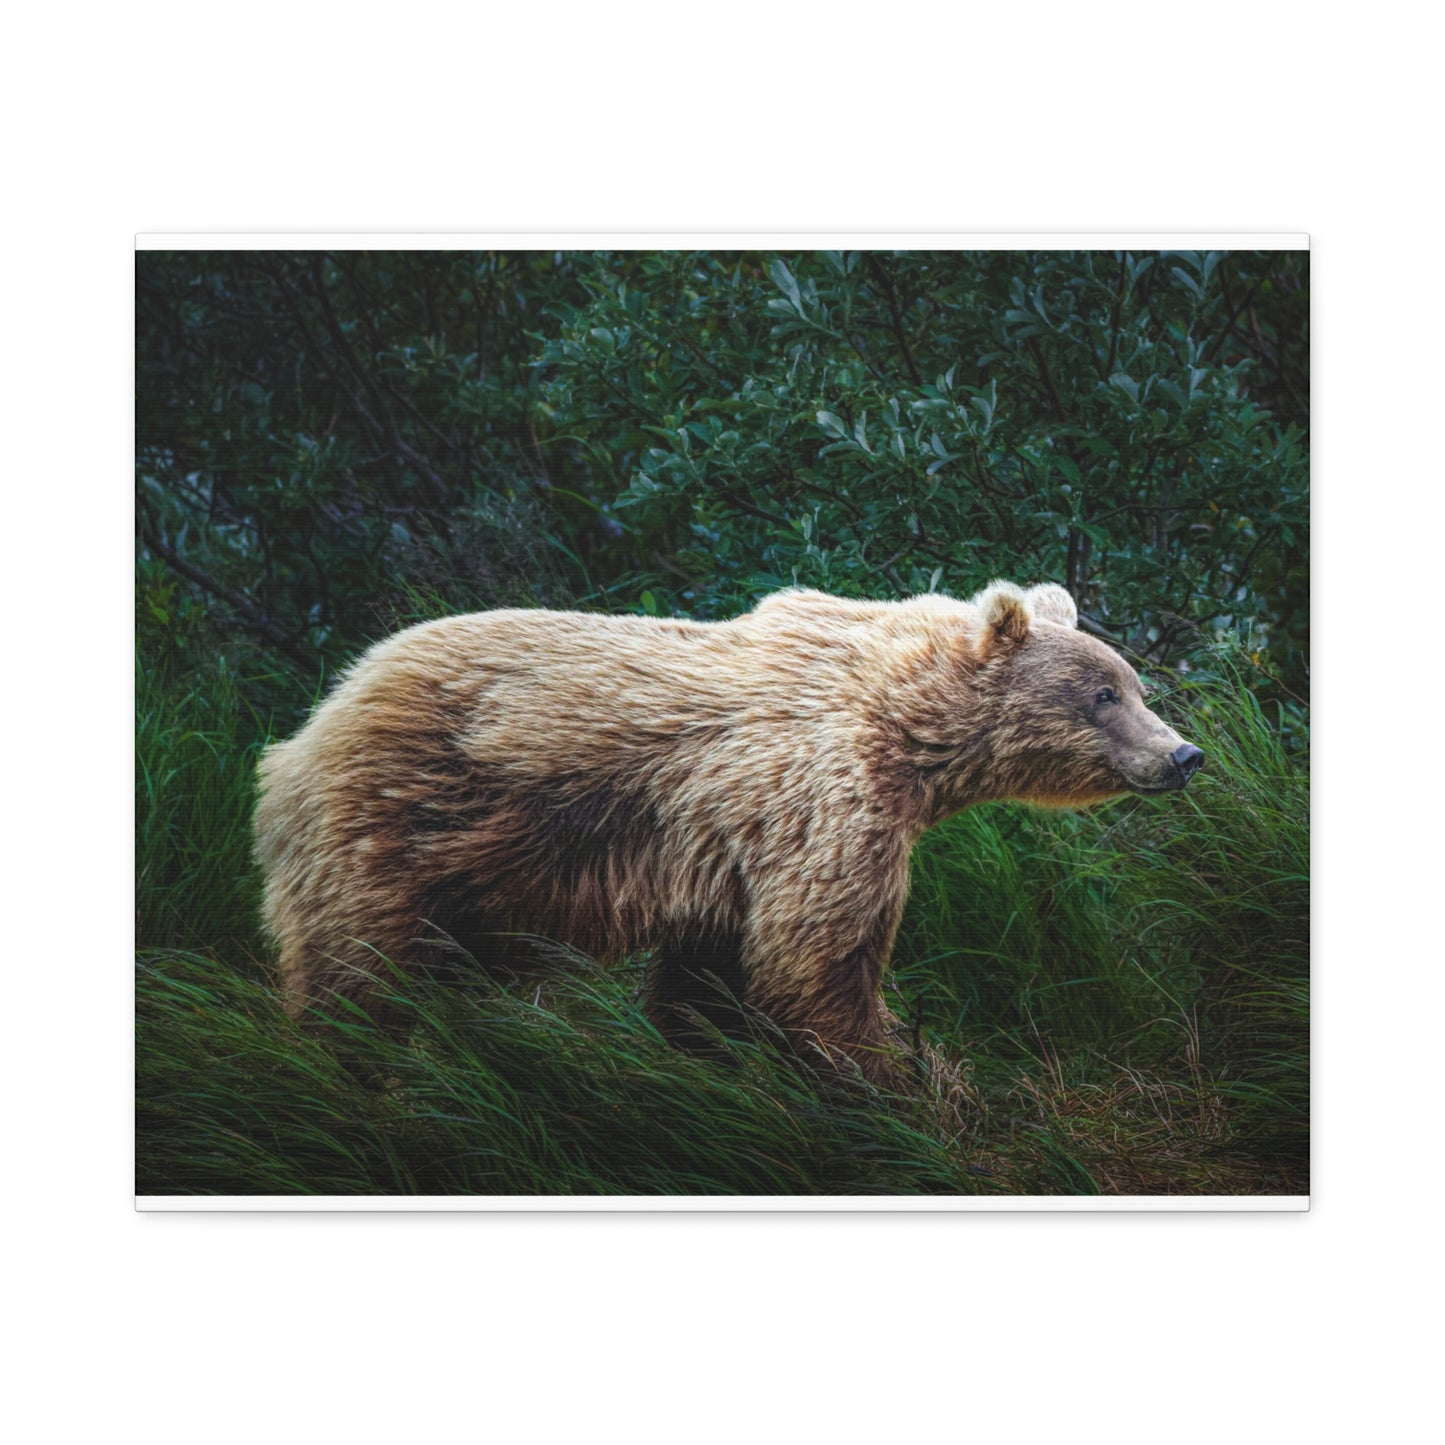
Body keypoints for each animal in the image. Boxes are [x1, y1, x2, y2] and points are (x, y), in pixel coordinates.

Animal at [253, 581, 1203, 1089]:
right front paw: (903, 1069)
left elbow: (712, 976)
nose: (1182, 754)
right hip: (399, 820)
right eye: (1103, 694)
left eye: (1134, 684)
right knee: (357, 969)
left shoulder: (729, 850)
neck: (910, 735)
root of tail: (306, 725)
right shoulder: (824, 801)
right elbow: (820, 958)